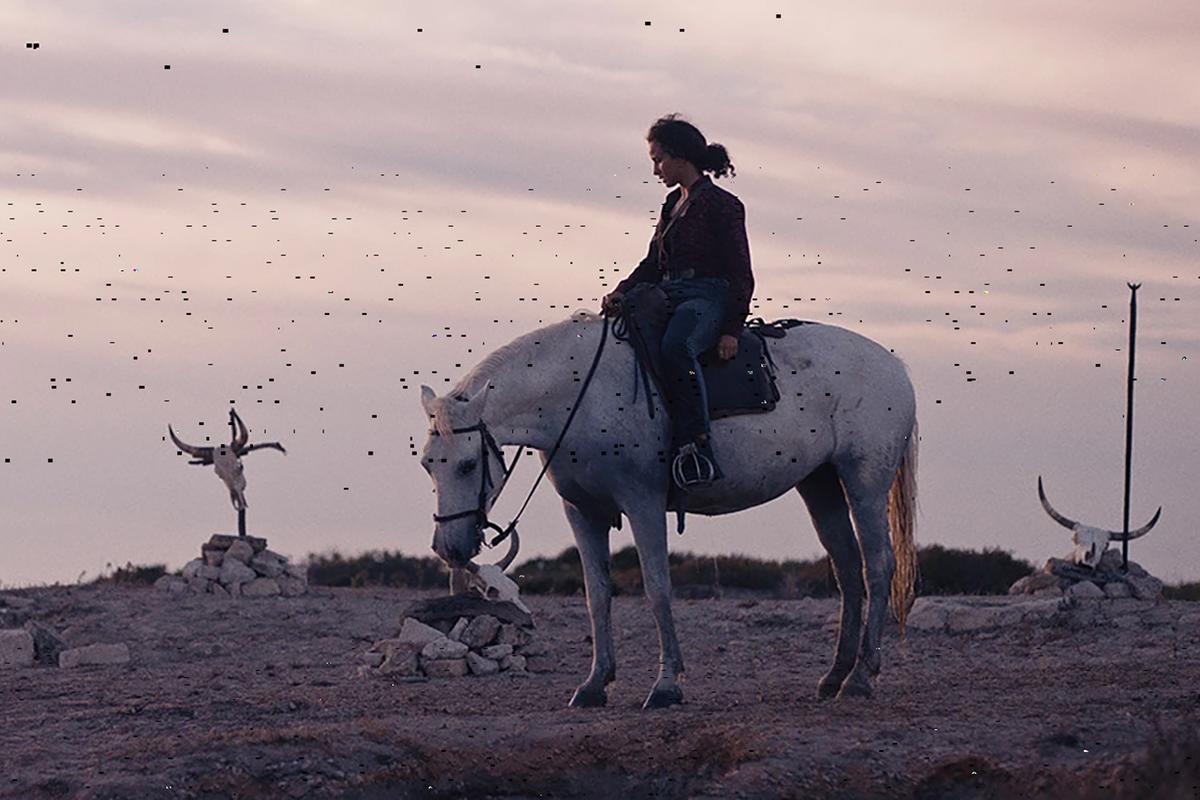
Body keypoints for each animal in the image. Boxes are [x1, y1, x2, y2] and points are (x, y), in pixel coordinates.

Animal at [422, 309, 916, 710]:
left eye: (467, 465)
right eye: (428, 463)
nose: (449, 548)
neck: (579, 395)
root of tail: (894, 366)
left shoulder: (643, 504)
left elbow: (658, 590)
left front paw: (665, 686)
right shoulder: (583, 512)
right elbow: (596, 596)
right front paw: (595, 684)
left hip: (864, 484)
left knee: (877, 567)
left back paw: (860, 678)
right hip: (821, 485)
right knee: (848, 571)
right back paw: (835, 675)